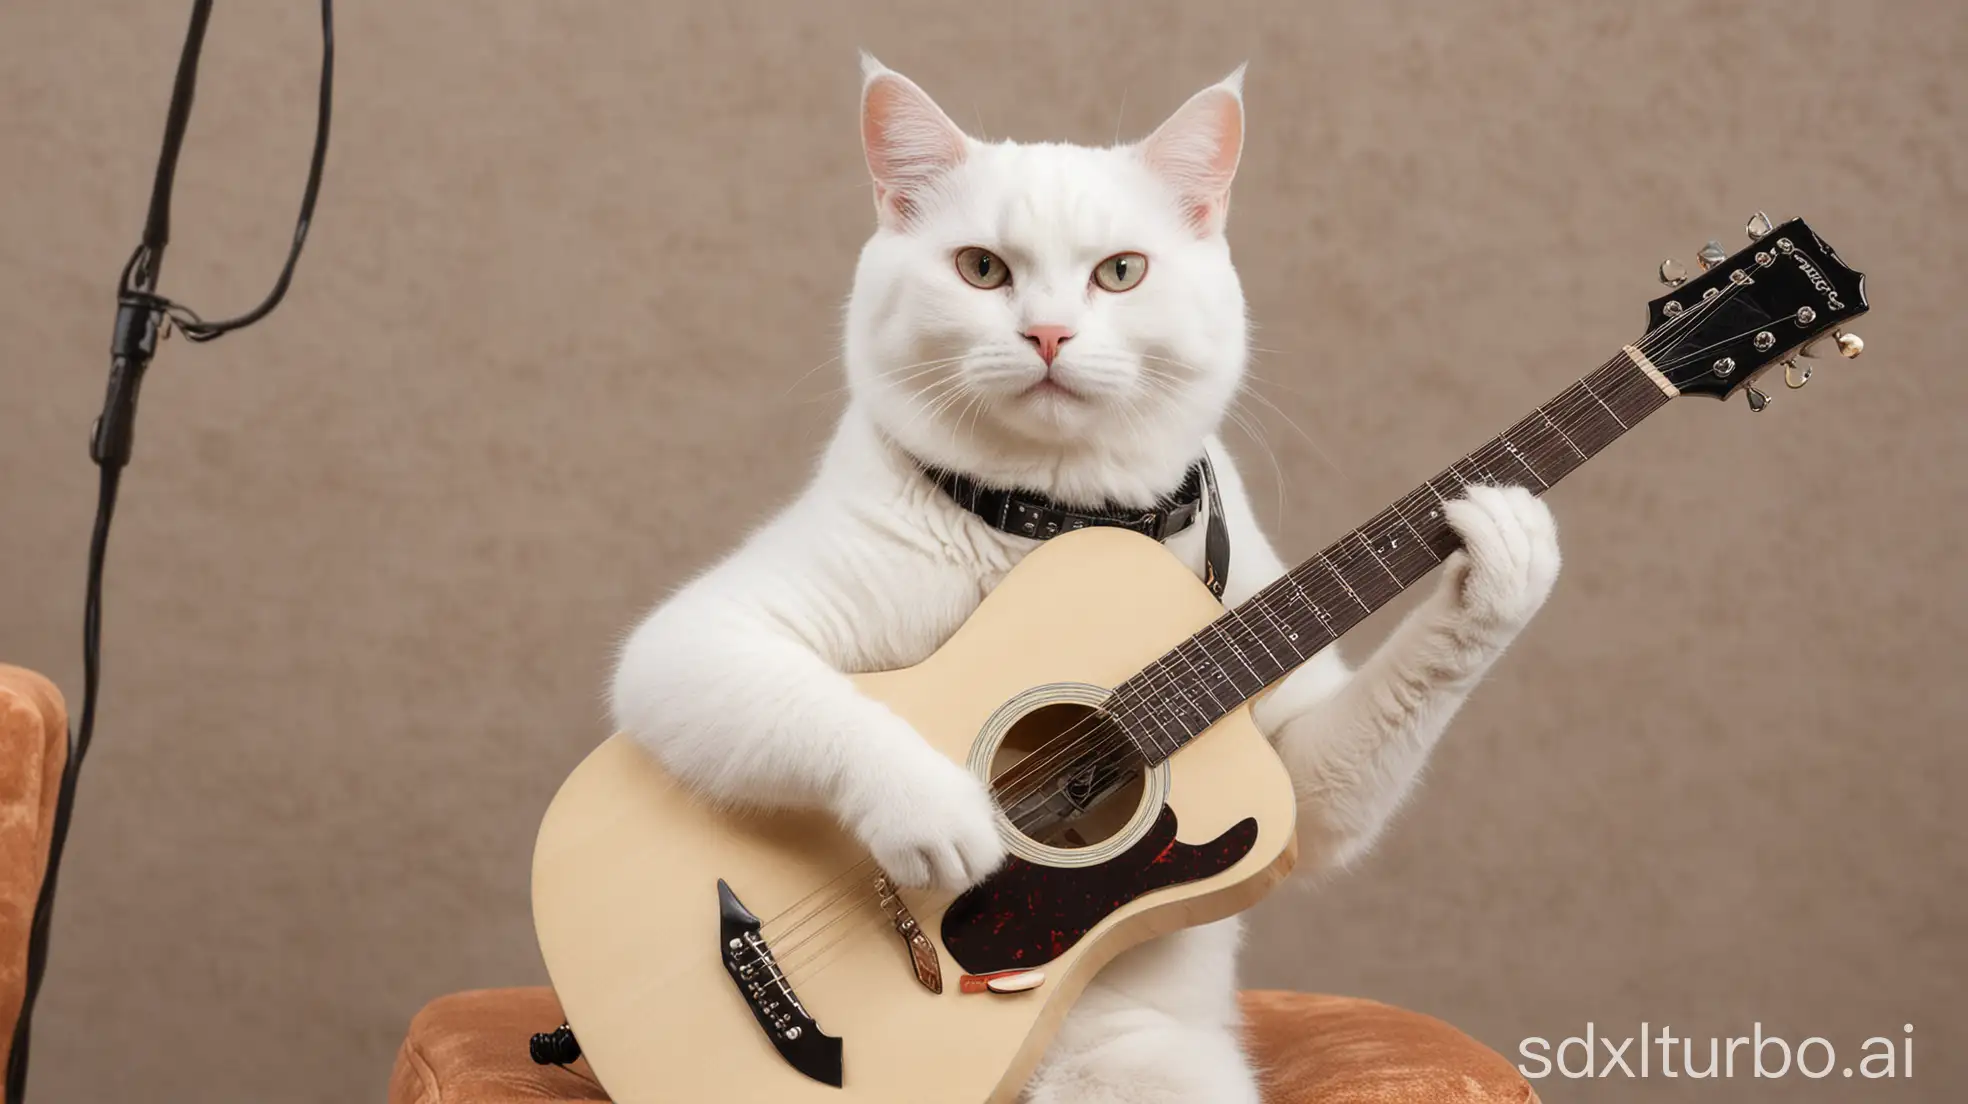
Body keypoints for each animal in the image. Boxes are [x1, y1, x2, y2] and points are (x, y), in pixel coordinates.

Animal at [606, 56, 1558, 1094]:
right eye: (982, 268)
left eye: (1121, 272)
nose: (1051, 334)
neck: (1059, 518)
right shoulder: (701, 635)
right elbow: (820, 711)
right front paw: (944, 820)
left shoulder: (1296, 777)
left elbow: (1340, 778)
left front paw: (1507, 553)